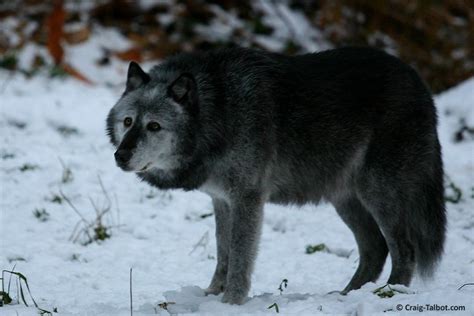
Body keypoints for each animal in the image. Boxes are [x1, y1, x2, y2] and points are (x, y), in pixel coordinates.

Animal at [105, 45, 446, 304]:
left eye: (154, 126)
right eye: (128, 122)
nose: (120, 155)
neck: (221, 111)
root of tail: (418, 81)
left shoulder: (248, 199)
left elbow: (240, 257)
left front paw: (231, 302)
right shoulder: (222, 200)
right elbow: (223, 253)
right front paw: (212, 296)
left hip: (377, 192)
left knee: (404, 249)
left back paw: (387, 294)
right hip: (345, 199)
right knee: (375, 248)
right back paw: (346, 295)